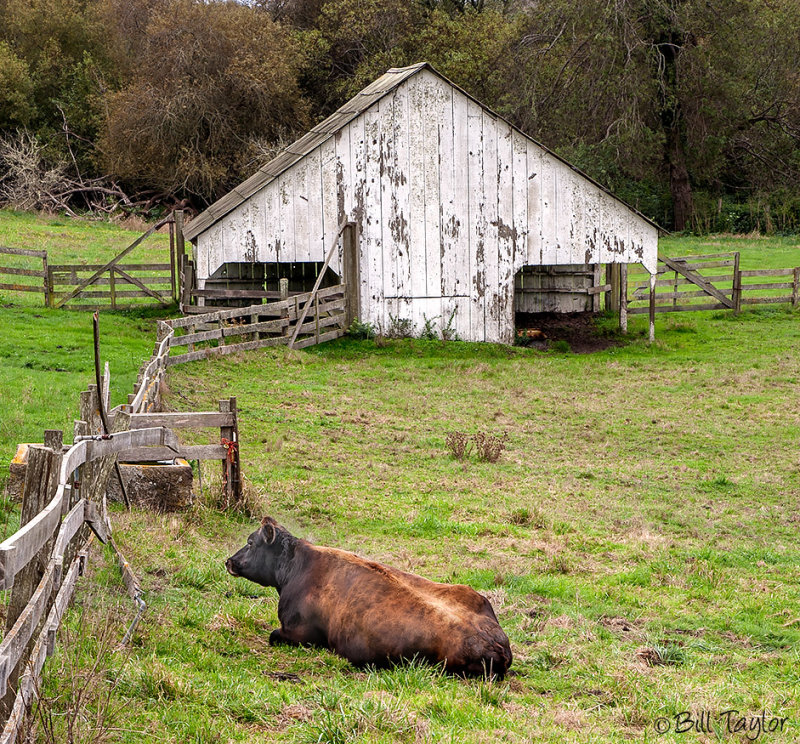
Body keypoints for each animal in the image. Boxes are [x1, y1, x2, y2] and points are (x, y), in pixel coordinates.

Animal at [225, 516, 512, 680]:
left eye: (250, 542)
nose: (229, 561)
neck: (296, 566)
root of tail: (493, 644)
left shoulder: (297, 633)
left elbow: (273, 636)